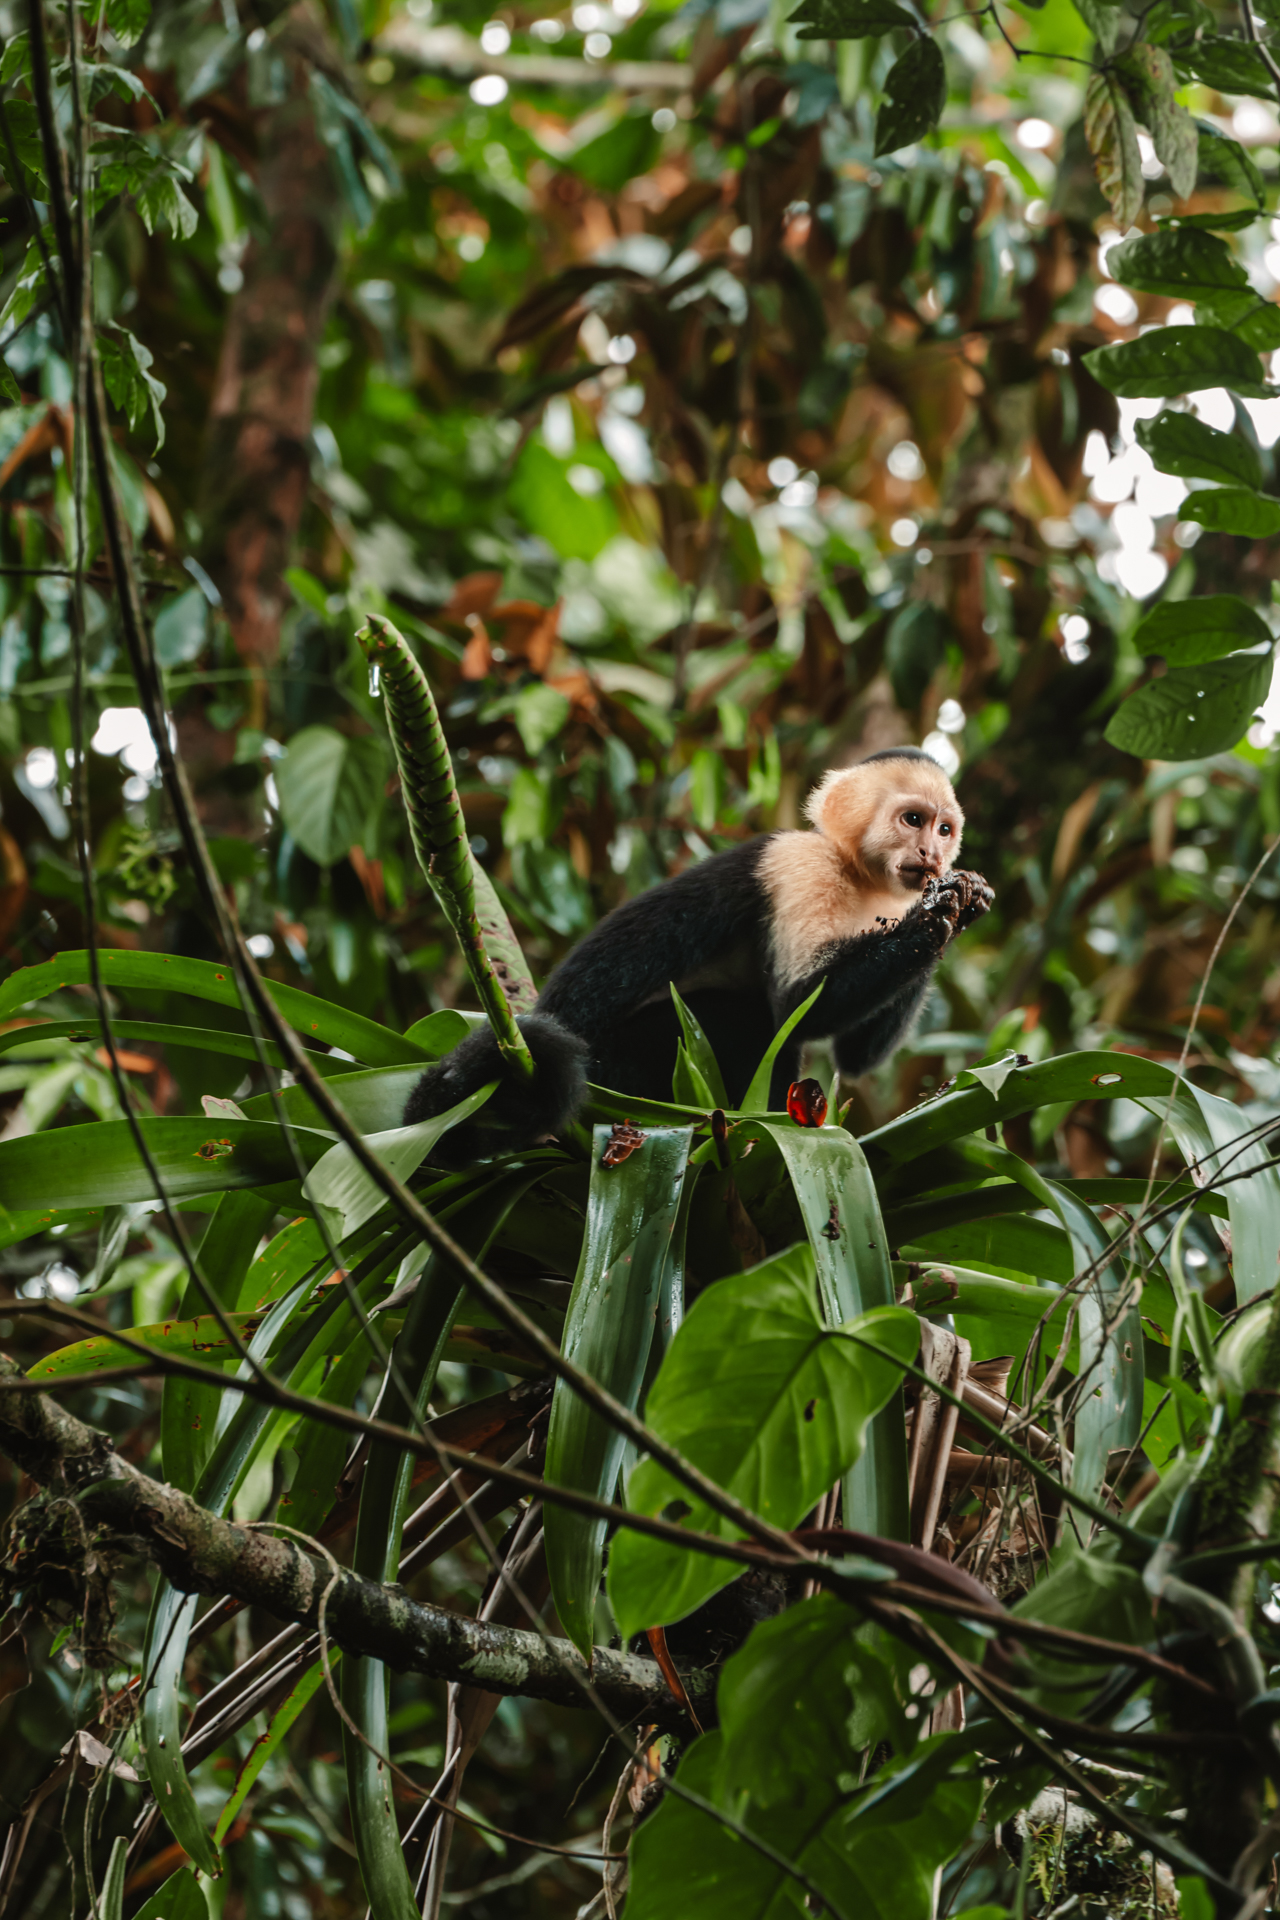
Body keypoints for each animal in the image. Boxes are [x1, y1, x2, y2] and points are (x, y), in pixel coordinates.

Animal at [404, 748, 993, 1158]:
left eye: (945, 828)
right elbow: (800, 1004)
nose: (933, 853)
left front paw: (962, 906)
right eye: (913, 820)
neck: (857, 872)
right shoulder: (799, 866)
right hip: (617, 1067)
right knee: (750, 1018)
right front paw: (938, 912)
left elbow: (857, 1056)